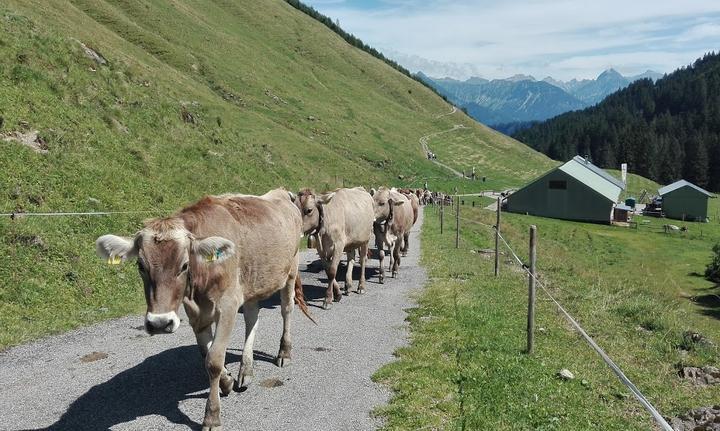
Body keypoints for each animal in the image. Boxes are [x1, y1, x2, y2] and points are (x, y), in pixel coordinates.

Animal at [95, 190, 310, 431]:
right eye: (141, 265)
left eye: (184, 265)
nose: (159, 323)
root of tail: (281, 193)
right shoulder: (195, 313)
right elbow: (206, 354)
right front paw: (227, 381)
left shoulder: (228, 305)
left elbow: (214, 360)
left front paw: (212, 416)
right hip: (251, 281)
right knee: (252, 319)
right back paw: (245, 370)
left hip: (290, 270)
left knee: (286, 309)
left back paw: (284, 352)